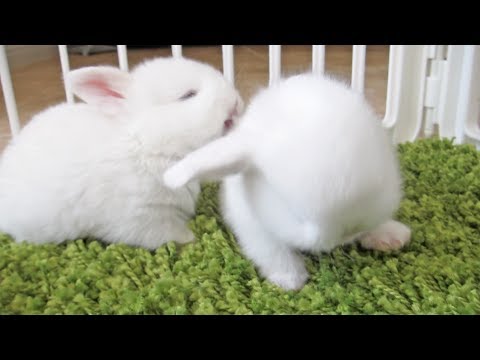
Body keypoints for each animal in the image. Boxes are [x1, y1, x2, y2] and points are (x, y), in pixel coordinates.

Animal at [0, 56, 244, 249]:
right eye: (188, 95)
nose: (235, 102)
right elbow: (171, 234)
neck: (144, 145)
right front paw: (192, 240)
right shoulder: (141, 219)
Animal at [165, 73, 412, 290]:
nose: (348, 234)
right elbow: (271, 250)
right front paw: (291, 280)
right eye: (295, 214)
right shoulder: (251, 223)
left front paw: (391, 236)